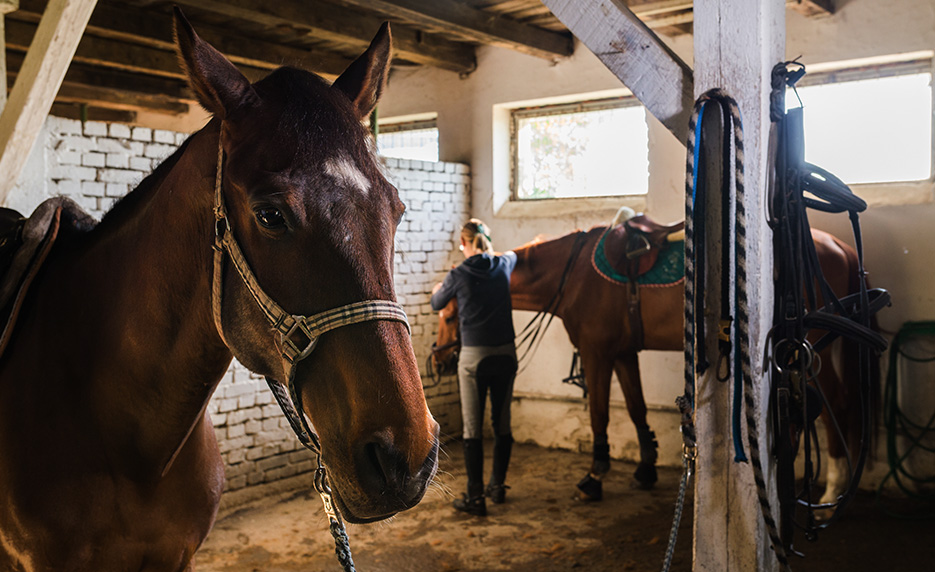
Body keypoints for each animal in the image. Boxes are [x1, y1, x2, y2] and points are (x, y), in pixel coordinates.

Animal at [433, 217, 875, 503]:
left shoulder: (596, 354)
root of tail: (838, 246)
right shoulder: (624, 353)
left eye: (449, 315)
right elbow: (636, 408)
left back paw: (832, 489)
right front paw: (645, 468)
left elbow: (600, 414)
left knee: (835, 404)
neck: (573, 276)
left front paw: (594, 477)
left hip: (809, 349)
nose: (439, 362)